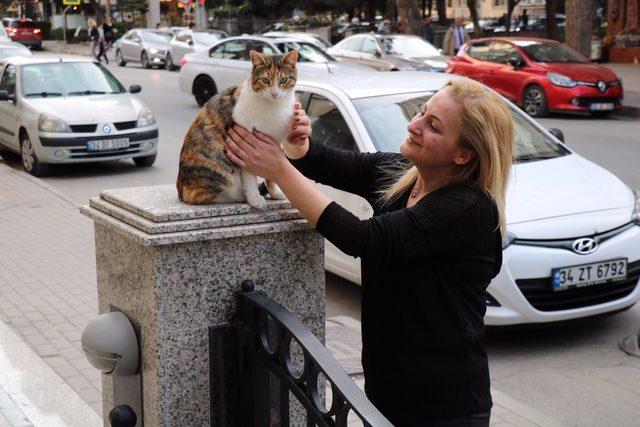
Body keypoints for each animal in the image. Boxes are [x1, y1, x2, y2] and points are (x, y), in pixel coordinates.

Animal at [176, 49, 298, 207]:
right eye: (265, 80)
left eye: (283, 80)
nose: (275, 93)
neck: (273, 107)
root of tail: (180, 190)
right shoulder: (246, 146)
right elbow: (250, 177)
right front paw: (254, 198)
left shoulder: (274, 145)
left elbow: (272, 175)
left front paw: (275, 193)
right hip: (219, 172)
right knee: (199, 196)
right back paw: (241, 196)